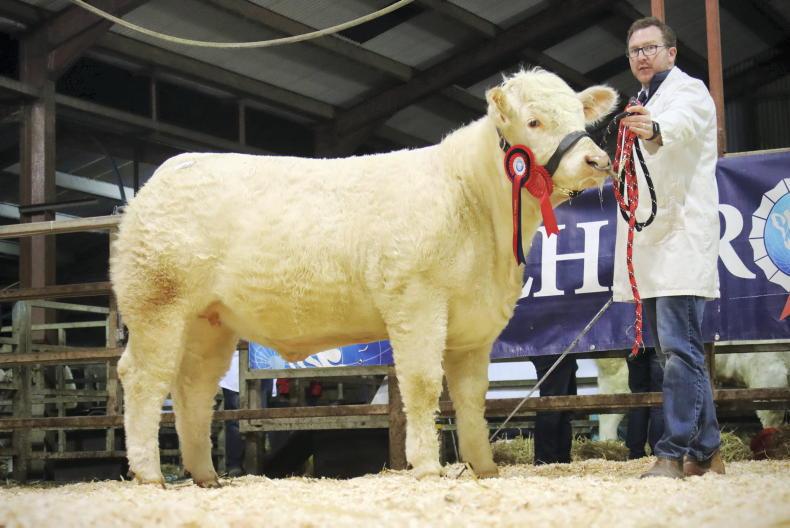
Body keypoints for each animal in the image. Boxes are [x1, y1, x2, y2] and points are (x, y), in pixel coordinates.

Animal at [111, 68, 618, 486]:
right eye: (533, 122)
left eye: (581, 116)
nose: (598, 162)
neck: (472, 198)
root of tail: (165, 173)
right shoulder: (417, 301)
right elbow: (422, 384)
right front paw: (427, 466)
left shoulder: (475, 325)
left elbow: (473, 397)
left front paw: (484, 467)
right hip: (157, 303)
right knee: (143, 377)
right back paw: (149, 473)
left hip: (209, 321)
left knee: (193, 387)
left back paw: (205, 475)